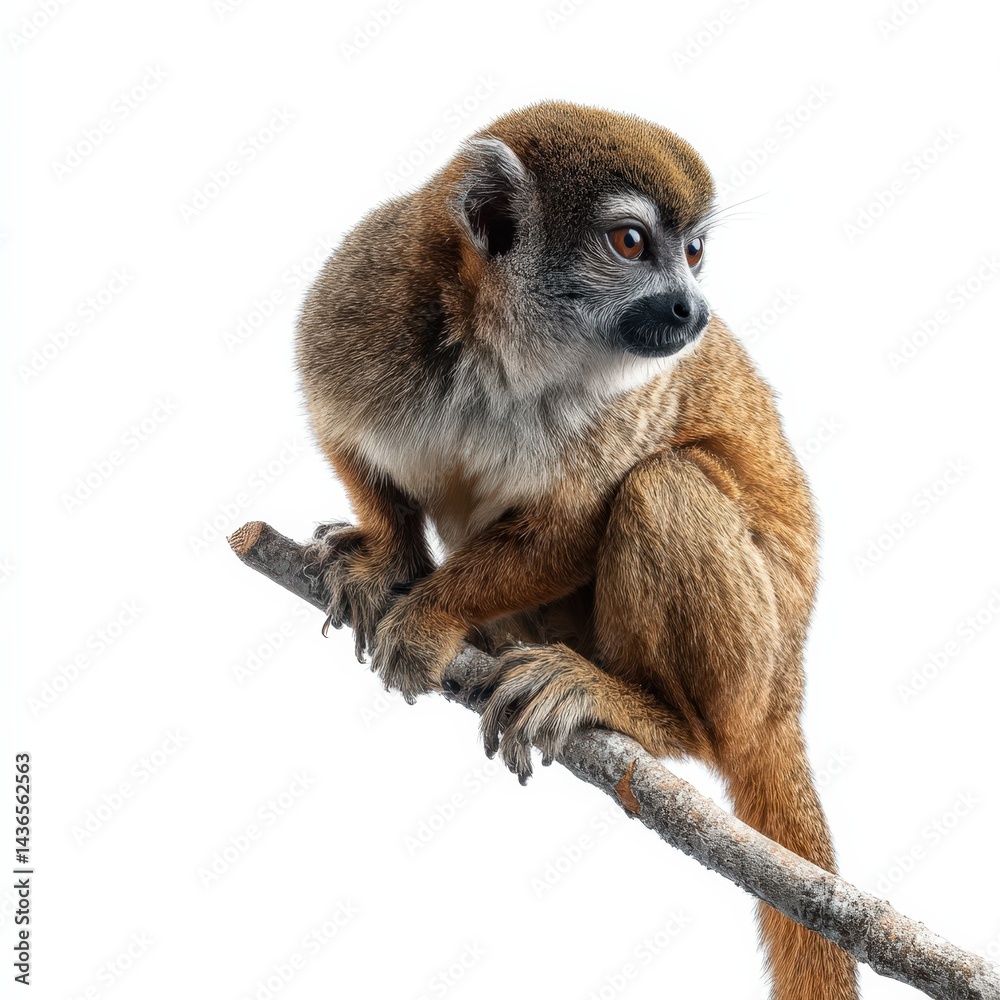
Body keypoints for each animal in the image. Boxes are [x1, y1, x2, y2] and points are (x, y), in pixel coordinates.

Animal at [294, 101, 859, 1000]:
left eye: (693, 252)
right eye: (632, 243)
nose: (692, 310)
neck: (497, 349)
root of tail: (787, 694)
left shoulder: (630, 394)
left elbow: (573, 527)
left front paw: (431, 614)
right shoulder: (365, 296)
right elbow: (339, 424)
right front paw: (386, 560)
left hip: (753, 672)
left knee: (662, 484)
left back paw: (645, 712)